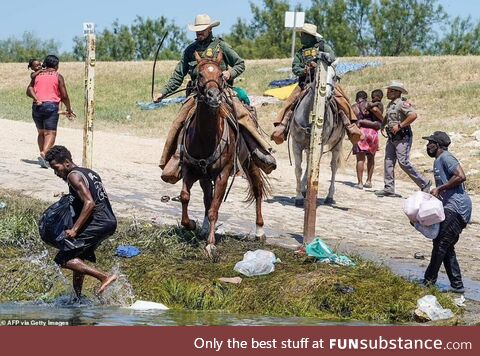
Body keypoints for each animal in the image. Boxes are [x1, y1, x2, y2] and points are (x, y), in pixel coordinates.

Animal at [180, 50, 270, 260]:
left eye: (221, 75)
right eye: (199, 74)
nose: (213, 96)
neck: (205, 138)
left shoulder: (223, 174)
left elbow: (215, 209)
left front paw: (210, 245)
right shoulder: (191, 169)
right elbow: (186, 197)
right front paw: (191, 224)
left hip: (250, 162)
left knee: (257, 189)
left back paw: (259, 231)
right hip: (205, 176)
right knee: (207, 198)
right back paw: (205, 227)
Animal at [288, 76, 344, 207]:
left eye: (334, 77)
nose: (327, 96)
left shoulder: (321, 145)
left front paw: (302, 194)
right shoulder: (296, 144)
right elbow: (298, 169)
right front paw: (299, 196)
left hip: (337, 144)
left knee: (334, 167)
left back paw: (329, 196)